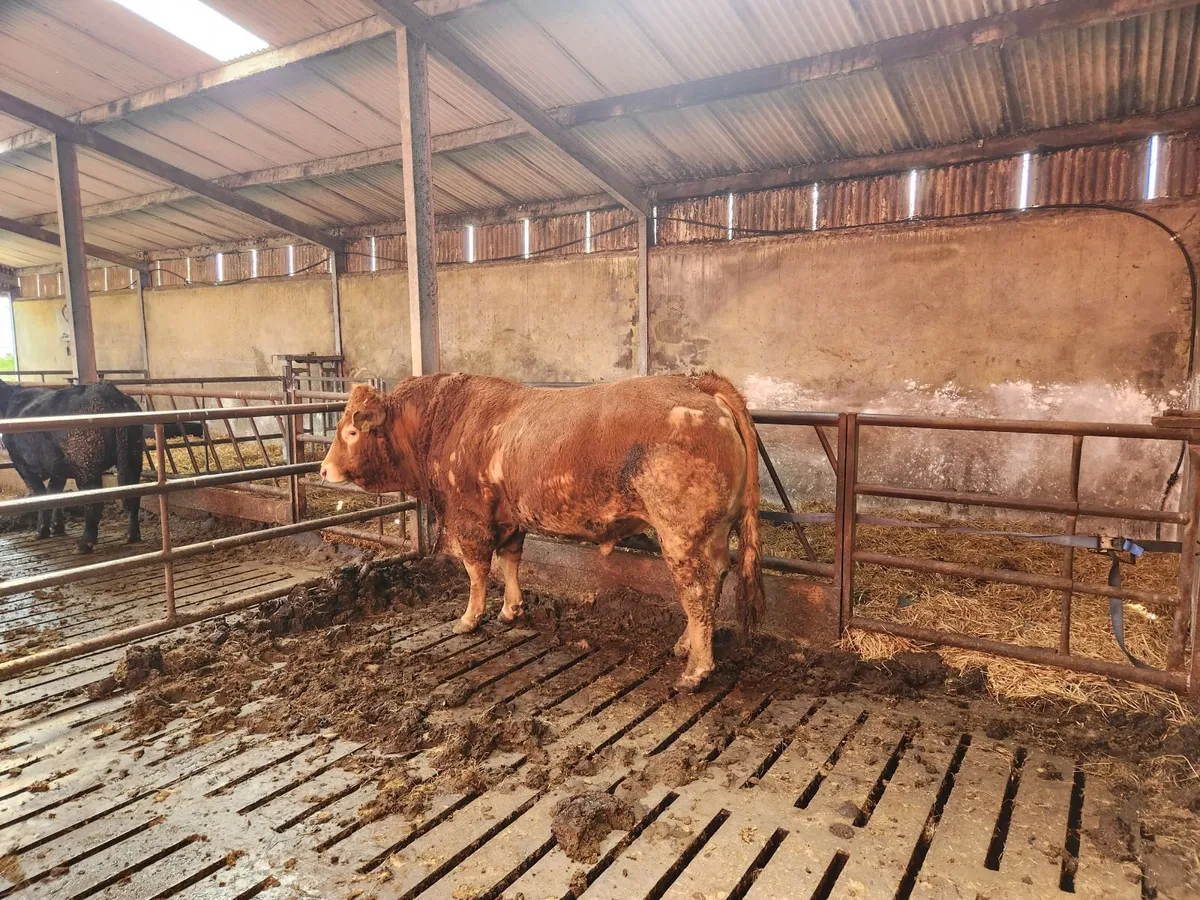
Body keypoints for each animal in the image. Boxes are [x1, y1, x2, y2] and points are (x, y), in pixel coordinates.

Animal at [0, 381, 145, 553]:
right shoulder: (57, 466)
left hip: (85, 464)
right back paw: (132, 536)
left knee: (94, 503)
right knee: (134, 495)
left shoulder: (20, 462)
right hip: (134, 455)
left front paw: (41, 531)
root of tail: (109, 391)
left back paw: (84, 545)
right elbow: (55, 493)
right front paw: (57, 527)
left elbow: (40, 494)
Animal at [319, 373, 765, 691]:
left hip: (681, 534)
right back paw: (686, 645)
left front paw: (469, 618)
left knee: (696, 591)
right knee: (714, 581)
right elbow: (511, 560)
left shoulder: (469, 516)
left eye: (352, 431)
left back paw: (696, 670)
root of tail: (695, 382)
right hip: (712, 534)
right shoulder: (510, 518)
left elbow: (477, 569)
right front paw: (511, 609)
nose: (323, 469)